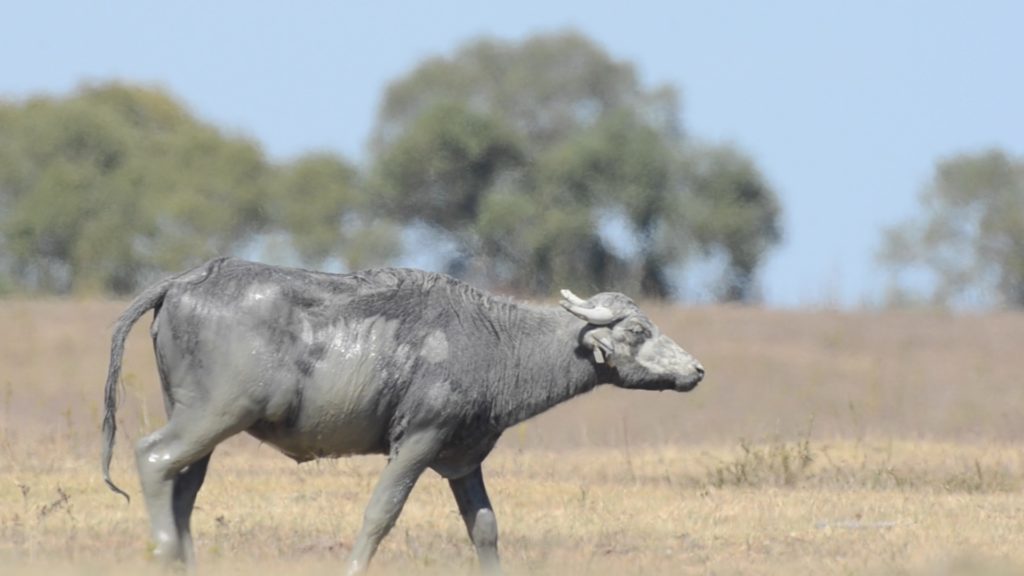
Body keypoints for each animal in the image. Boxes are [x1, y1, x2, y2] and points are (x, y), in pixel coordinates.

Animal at [99, 258, 704, 569]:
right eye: (637, 331)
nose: (696, 369)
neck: (494, 341)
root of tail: (186, 280)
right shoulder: (417, 441)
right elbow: (379, 516)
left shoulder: (464, 460)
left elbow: (485, 529)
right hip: (214, 417)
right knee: (152, 458)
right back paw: (162, 551)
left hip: (203, 426)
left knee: (183, 490)